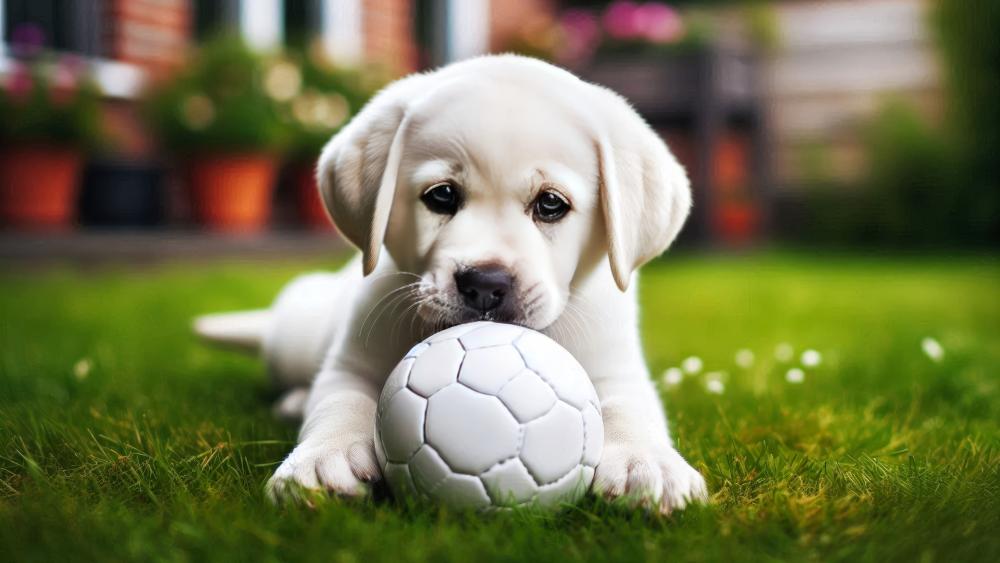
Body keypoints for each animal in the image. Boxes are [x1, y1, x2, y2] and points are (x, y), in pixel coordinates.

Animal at [199, 55, 708, 512]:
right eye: (441, 196)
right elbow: (340, 402)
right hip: (296, 335)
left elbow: (630, 410)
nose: (485, 283)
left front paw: (648, 463)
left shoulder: (617, 370)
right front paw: (324, 459)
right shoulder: (352, 363)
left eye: (551, 204)